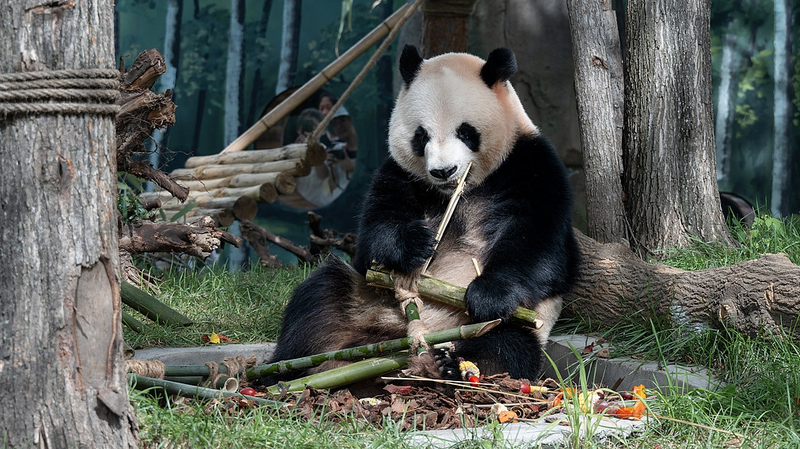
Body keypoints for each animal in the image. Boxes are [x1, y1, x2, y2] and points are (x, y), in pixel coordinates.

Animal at [263, 45, 580, 384]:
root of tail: (389, 338)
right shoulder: (401, 174)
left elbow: (542, 248)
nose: (443, 171)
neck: (459, 190)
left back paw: (453, 364)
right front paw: (415, 243)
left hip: (504, 323)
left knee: (506, 346)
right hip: (362, 295)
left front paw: (488, 294)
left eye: (465, 132)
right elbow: (372, 236)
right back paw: (284, 369)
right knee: (317, 302)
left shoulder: (531, 167)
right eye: (421, 135)